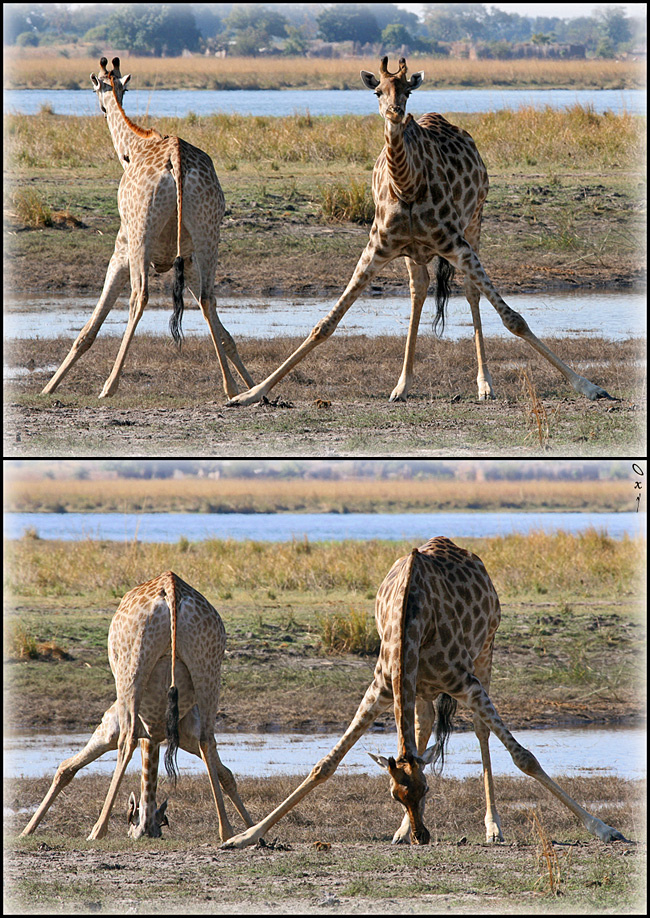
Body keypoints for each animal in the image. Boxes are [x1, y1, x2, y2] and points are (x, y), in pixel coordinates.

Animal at [21, 571, 253, 842]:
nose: (144, 831)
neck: (155, 733)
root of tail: (172, 587)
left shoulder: (108, 727)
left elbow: (65, 767)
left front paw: (26, 831)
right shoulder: (184, 734)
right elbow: (225, 773)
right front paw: (251, 827)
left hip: (131, 669)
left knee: (127, 739)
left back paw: (97, 830)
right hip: (208, 669)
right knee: (208, 739)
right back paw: (226, 831)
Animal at [41, 57, 253, 400]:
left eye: (95, 90)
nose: (102, 108)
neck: (135, 147)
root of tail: (177, 161)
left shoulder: (121, 249)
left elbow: (89, 329)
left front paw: (49, 387)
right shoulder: (188, 259)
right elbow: (223, 331)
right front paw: (250, 385)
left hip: (141, 234)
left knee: (139, 297)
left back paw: (109, 386)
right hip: (209, 235)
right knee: (209, 298)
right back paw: (230, 387)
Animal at [222, 537, 627, 849]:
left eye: (429, 789)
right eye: (394, 795)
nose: (423, 836)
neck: (412, 622)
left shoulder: (466, 683)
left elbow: (524, 757)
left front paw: (605, 829)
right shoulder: (382, 689)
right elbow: (325, 764)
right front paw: (244, 837)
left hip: (486, 652)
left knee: (480, 731)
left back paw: (493, 827)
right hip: (422, 690)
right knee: (424, 728)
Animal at [227, 57, 613, 407]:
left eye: (408, 91)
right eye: (377, 91)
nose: (395, 112)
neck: (407, 186)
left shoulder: (457, 245)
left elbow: (514, 319)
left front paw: (590, 386)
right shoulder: (376, 248)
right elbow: (325, 324)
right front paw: (250, 393)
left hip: (475, 223)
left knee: (470, 293)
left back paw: (484, 385)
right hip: (415, 253)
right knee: (419, 291)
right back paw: (402, 386)